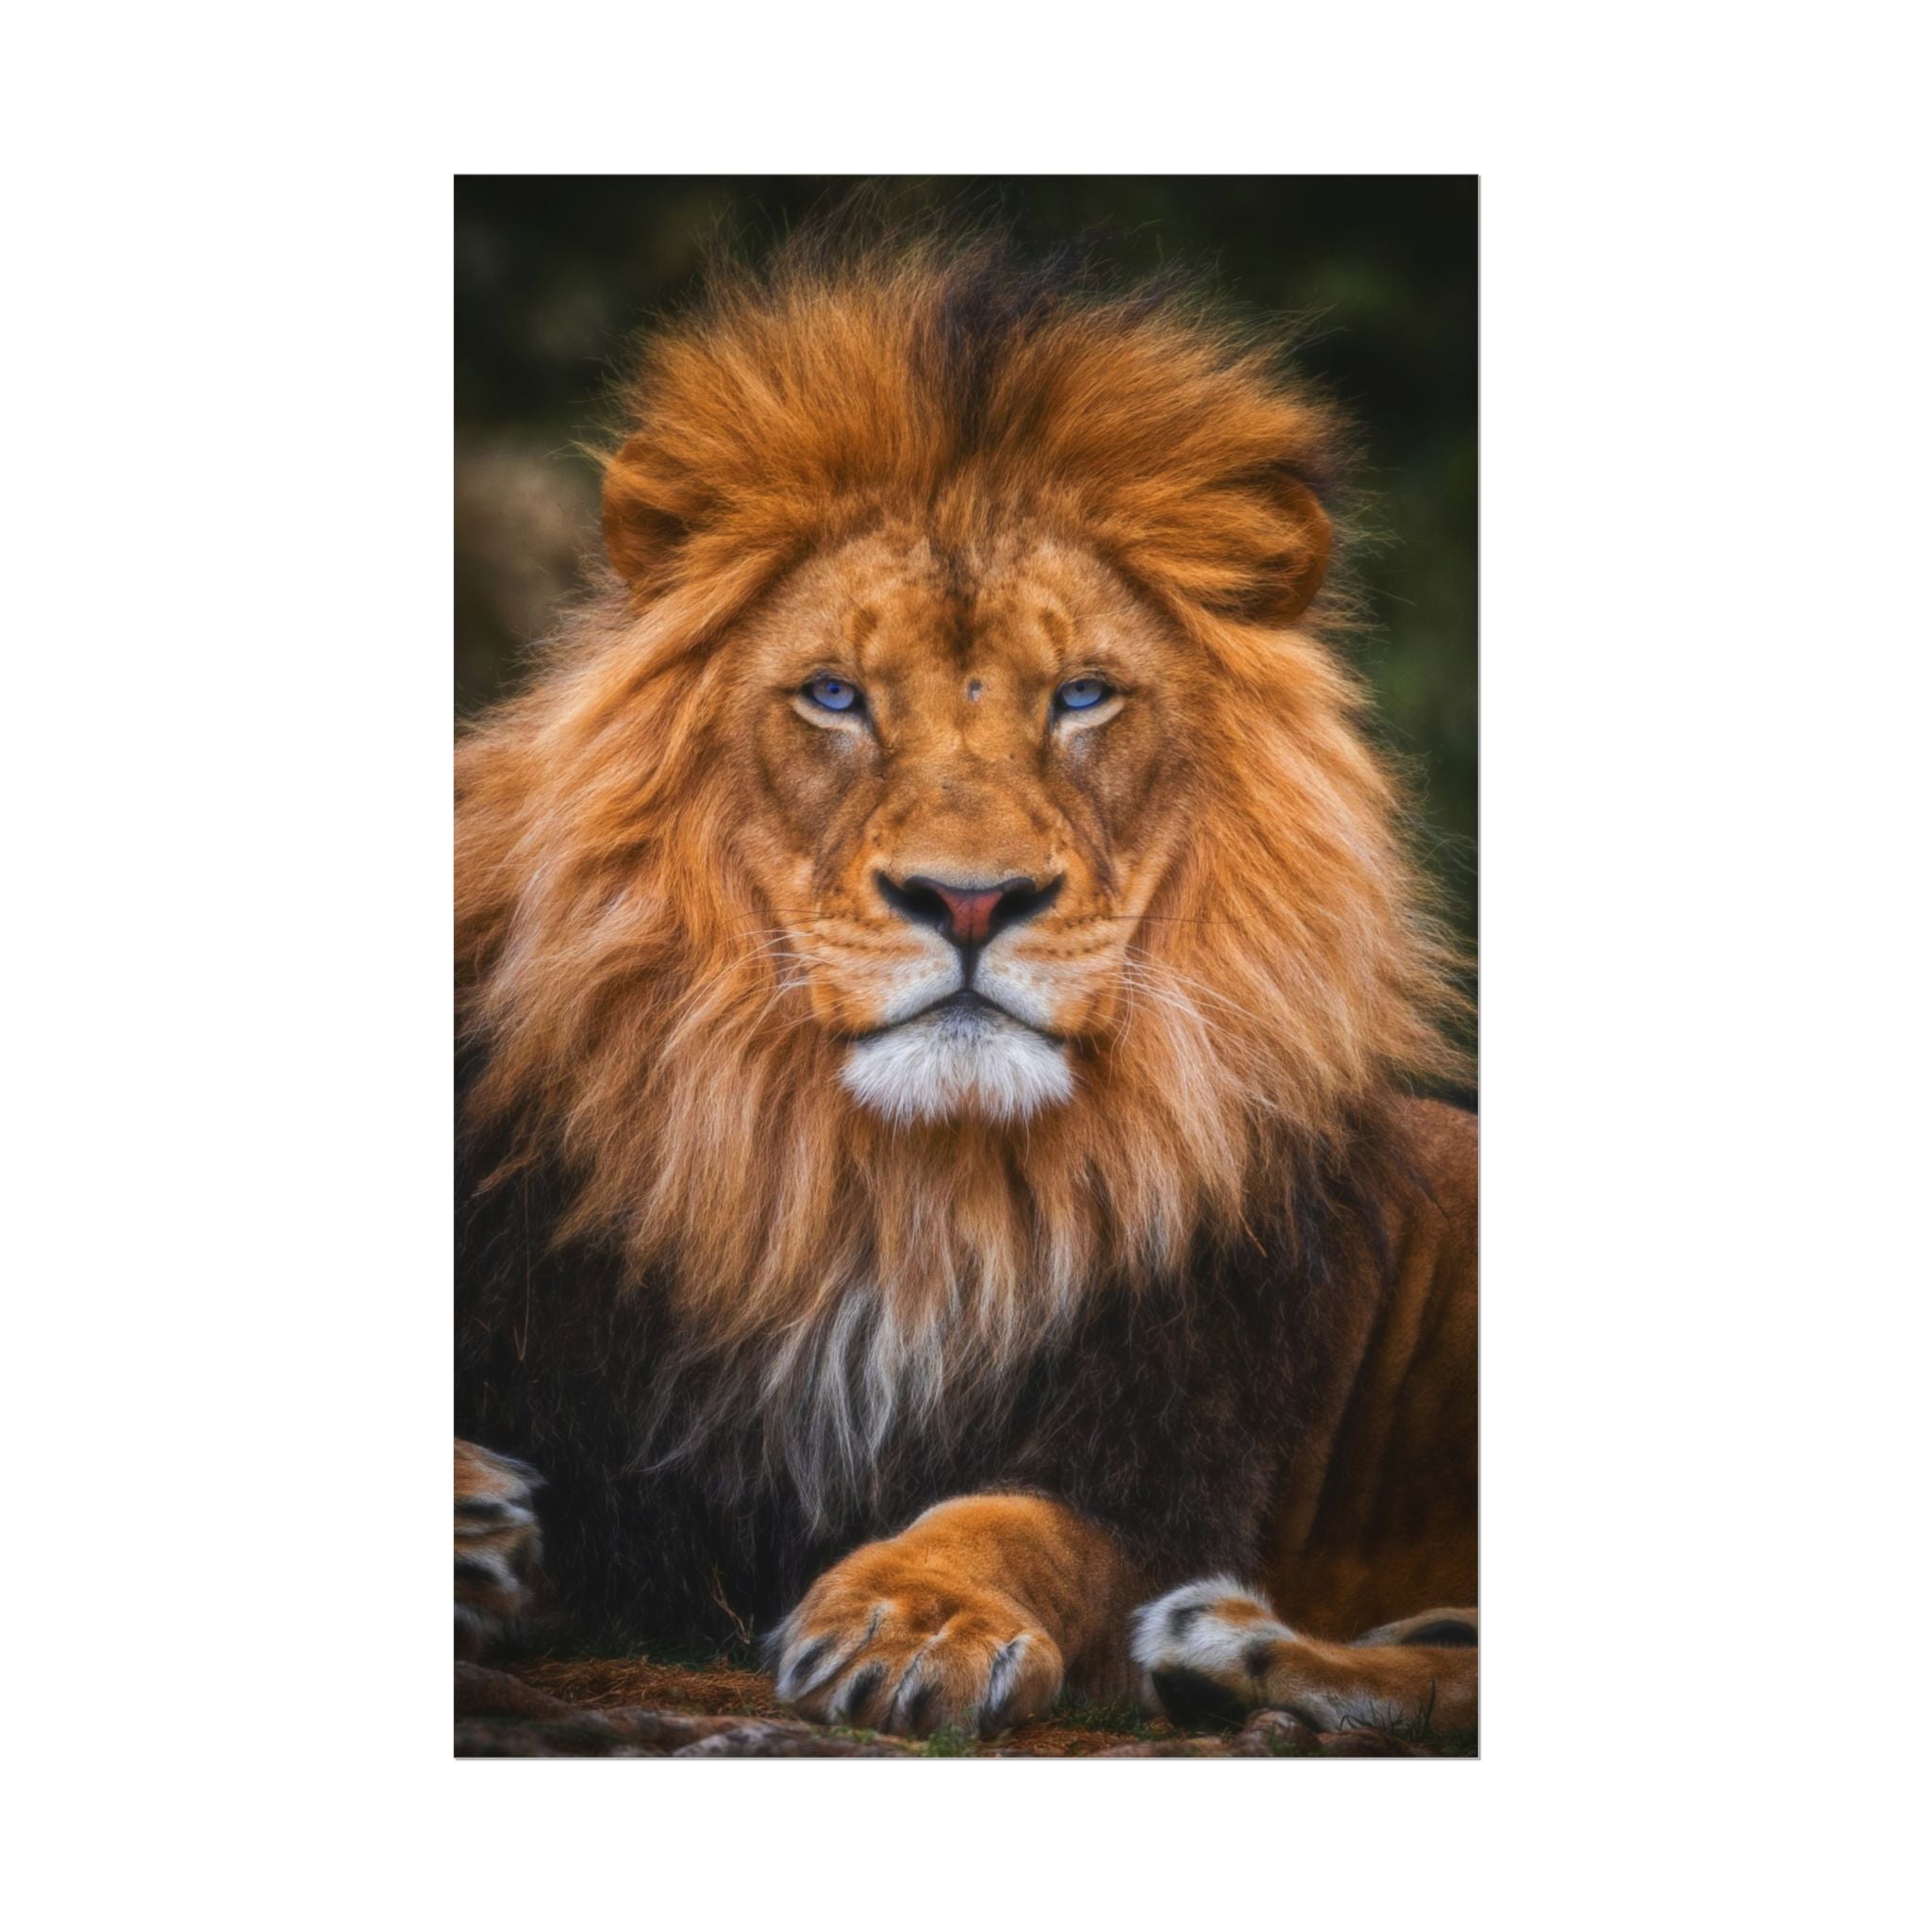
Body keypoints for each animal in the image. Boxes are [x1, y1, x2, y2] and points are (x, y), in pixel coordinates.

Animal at [454, 229, 1477, 1744]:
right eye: (833, 695)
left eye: (1082, 696)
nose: (972, 900)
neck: (896, 1197)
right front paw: (473, 1520)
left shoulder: (1167, 1458)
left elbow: (1020, 1523)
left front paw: (912, 1616)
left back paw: (1233, 1646)